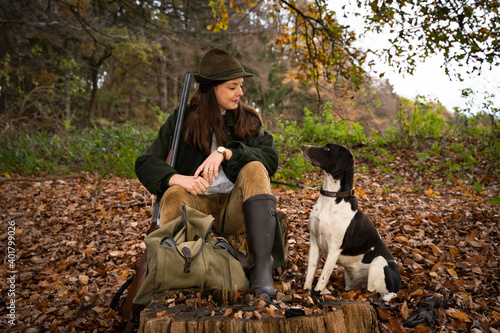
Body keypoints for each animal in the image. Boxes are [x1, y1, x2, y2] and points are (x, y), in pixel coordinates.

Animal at [300, 143, 402, 300]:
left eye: (327, 149)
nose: (303, 146)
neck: (332, 198)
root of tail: (398, 286)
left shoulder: (334, 249)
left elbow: (323, 276)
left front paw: (317, 294)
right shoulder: (314, 241)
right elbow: (310, 273)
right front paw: (305, 292)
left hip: (379, 262)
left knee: (374, 292)